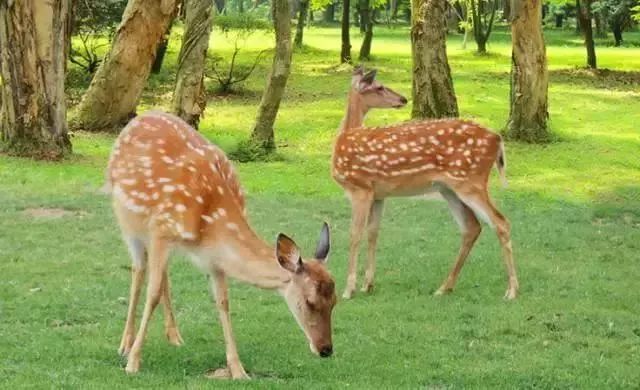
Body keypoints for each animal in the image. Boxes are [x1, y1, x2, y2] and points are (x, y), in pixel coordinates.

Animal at [106, 110, 336, 378]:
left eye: (335, 301)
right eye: (310, 302)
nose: (326, 349)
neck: (210, 222)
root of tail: (137, 118)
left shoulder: (213, 258)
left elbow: (223, 302)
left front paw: (238, 370)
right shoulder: (161, 230)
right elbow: (151, 295)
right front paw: (133, 363)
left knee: (162, 275)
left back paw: (174, 336)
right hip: (128, 221)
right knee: (139, 270)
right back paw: (125, 343)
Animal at [332, 68, 516, 302]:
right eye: (379, 86)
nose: (403, 99)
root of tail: (498, 139)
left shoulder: (359, 188)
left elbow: (354, 234)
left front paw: (349, 290)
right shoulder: (378, 194)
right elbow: (373, 233)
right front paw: (367, 285)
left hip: (470, 181)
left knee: (500, 222)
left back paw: (511, 290)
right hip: (449, 188)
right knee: (472, 227)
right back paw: (444, 287)